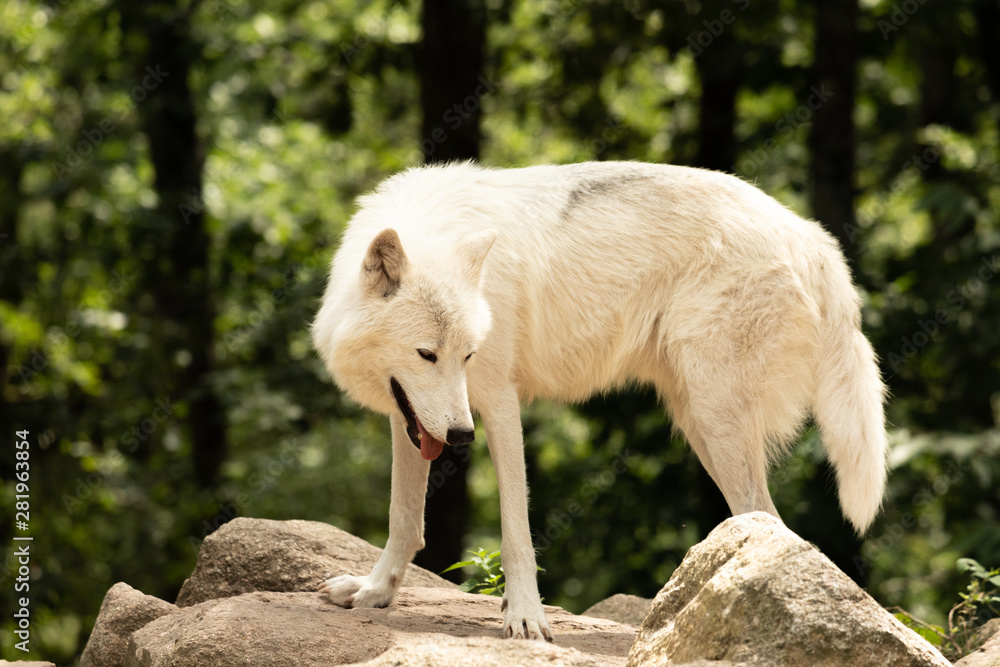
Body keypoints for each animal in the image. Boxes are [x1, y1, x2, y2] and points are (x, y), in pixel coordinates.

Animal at [310, 161, 887, 641]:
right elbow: (404, 518)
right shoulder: (410, 415)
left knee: (766, 519)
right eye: (427, 355)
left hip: (714, 421)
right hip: (697, 422)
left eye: (467, 355)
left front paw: (526, 618)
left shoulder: (497, 400)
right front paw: (375, 592)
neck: (431, 225)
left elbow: (516, 531)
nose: (460, 436)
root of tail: (811, 236)